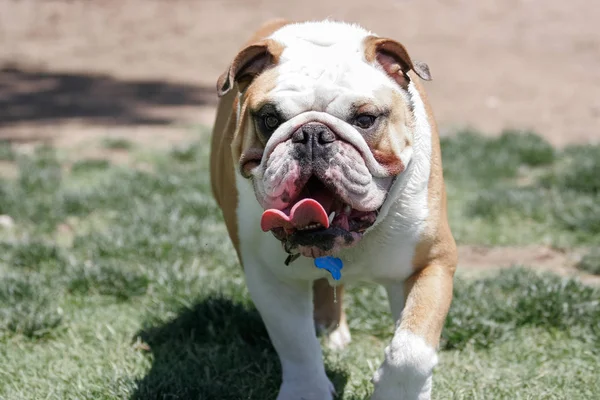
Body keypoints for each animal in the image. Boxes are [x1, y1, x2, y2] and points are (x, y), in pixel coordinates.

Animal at [210, 19, 454, 400]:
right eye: (269, 118)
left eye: (366, 119)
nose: (312, 134)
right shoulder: (270, 278)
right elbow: (295, 343)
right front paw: (306, 391)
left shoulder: (433, 262)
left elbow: (411, 350)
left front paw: (398, 390)